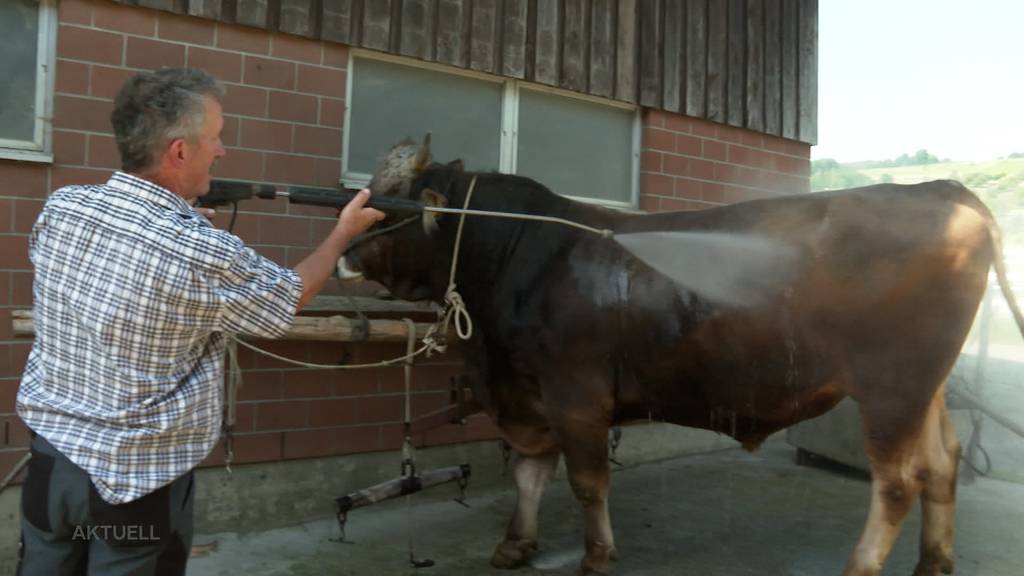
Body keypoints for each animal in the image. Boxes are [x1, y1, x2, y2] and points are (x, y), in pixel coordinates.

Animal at [339, 136, 1019, 569]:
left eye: (388, 205)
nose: (341, 251)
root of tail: (943, 190)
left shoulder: (576, 395)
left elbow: (587, 482)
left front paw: (596, 555)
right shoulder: (528, 396)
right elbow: (531, 474)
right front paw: (514, 546)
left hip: (891, 385)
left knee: (899, 481)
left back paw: (862, 566)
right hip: (925, 386)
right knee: (943, 463)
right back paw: (933, 563)